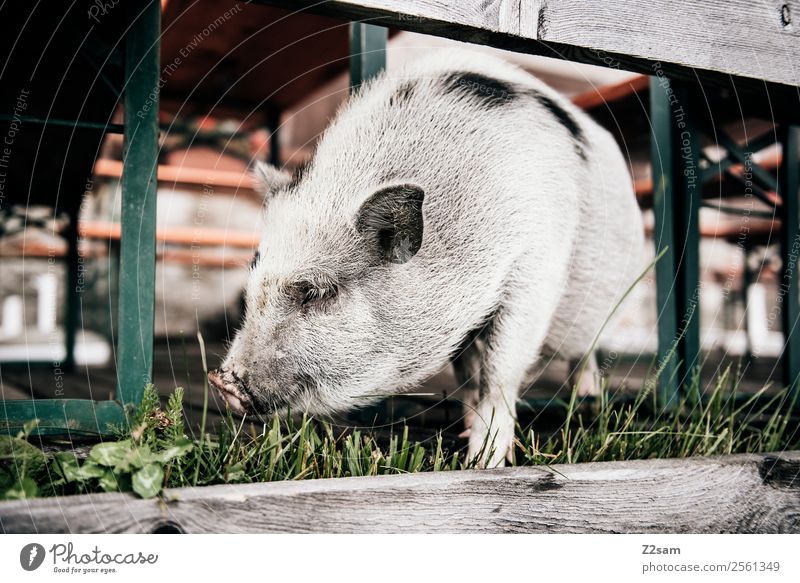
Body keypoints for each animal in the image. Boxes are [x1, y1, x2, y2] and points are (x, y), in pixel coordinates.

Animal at [206, 50, 644, 470]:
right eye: (252, 285)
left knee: (586, 352)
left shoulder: (531, 272)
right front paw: (467, 428)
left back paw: (588, 397)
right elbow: (468, 373)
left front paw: (484, 461)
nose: (222, 381)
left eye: (317, 292)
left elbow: (500, 370)